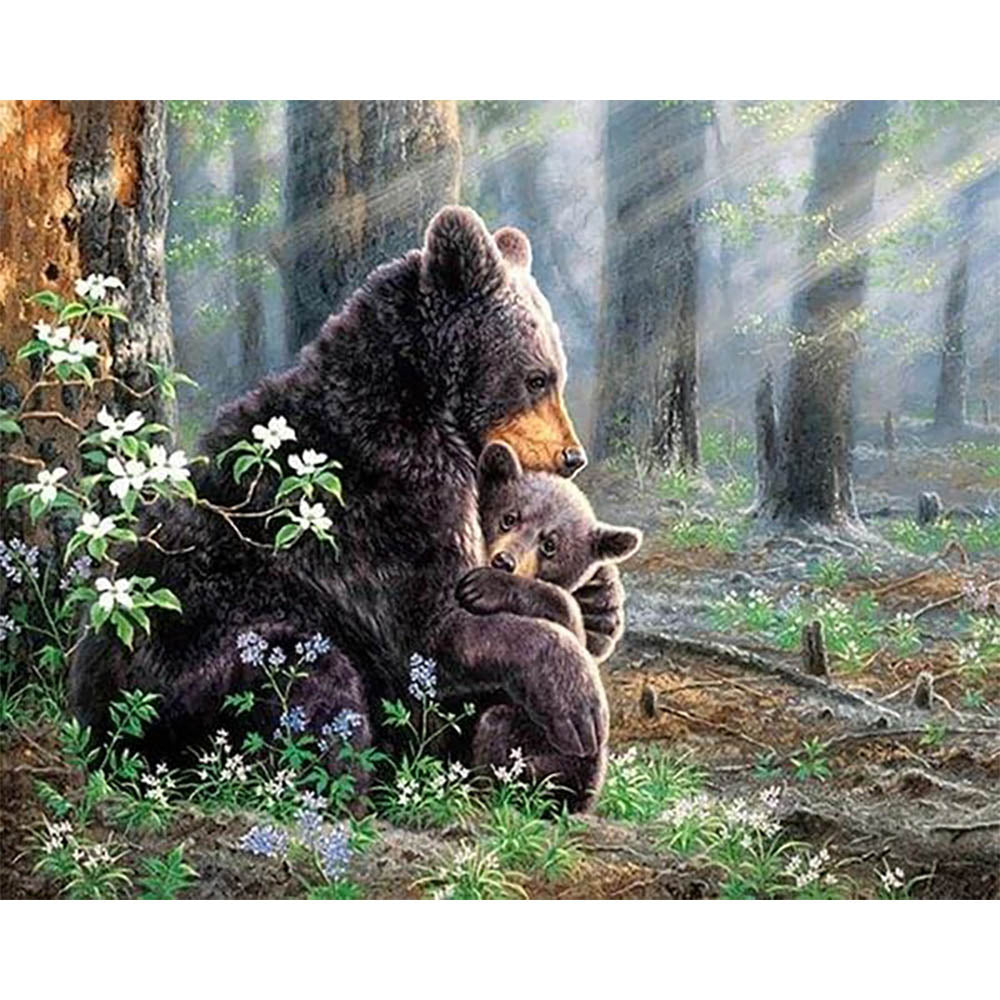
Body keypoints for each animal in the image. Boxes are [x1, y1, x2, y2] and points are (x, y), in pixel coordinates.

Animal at [68, 206, 627, 810]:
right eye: (537, 378)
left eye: (555, 375)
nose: (572, 456)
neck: (419, 405)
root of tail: (99, 730)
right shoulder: (382, 506)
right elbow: (431, 633)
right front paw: (577, 697)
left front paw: (600, 600)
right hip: (205, 669)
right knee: (314, 684)